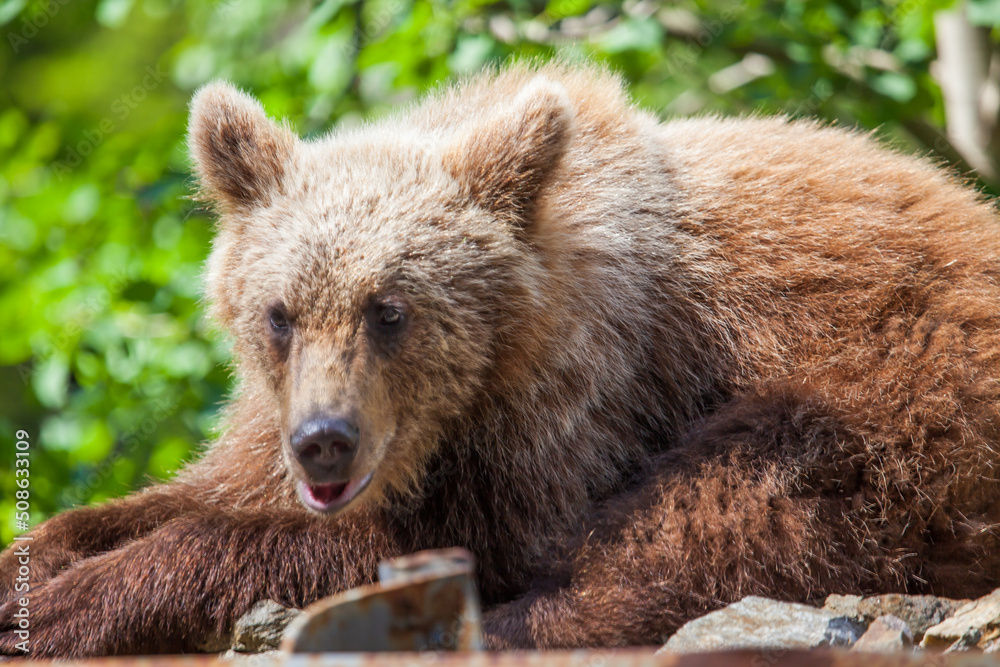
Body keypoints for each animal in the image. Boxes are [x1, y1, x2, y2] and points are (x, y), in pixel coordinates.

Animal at [3, 61, 1000, 657]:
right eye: (280, 314)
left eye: (389, 309)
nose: (324, 439)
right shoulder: (267, 422)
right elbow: (191, 494)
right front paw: (40, 556)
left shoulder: (588, 398)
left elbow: (461, 543)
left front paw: (65, 605)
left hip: (901, 382)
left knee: (744, 497)